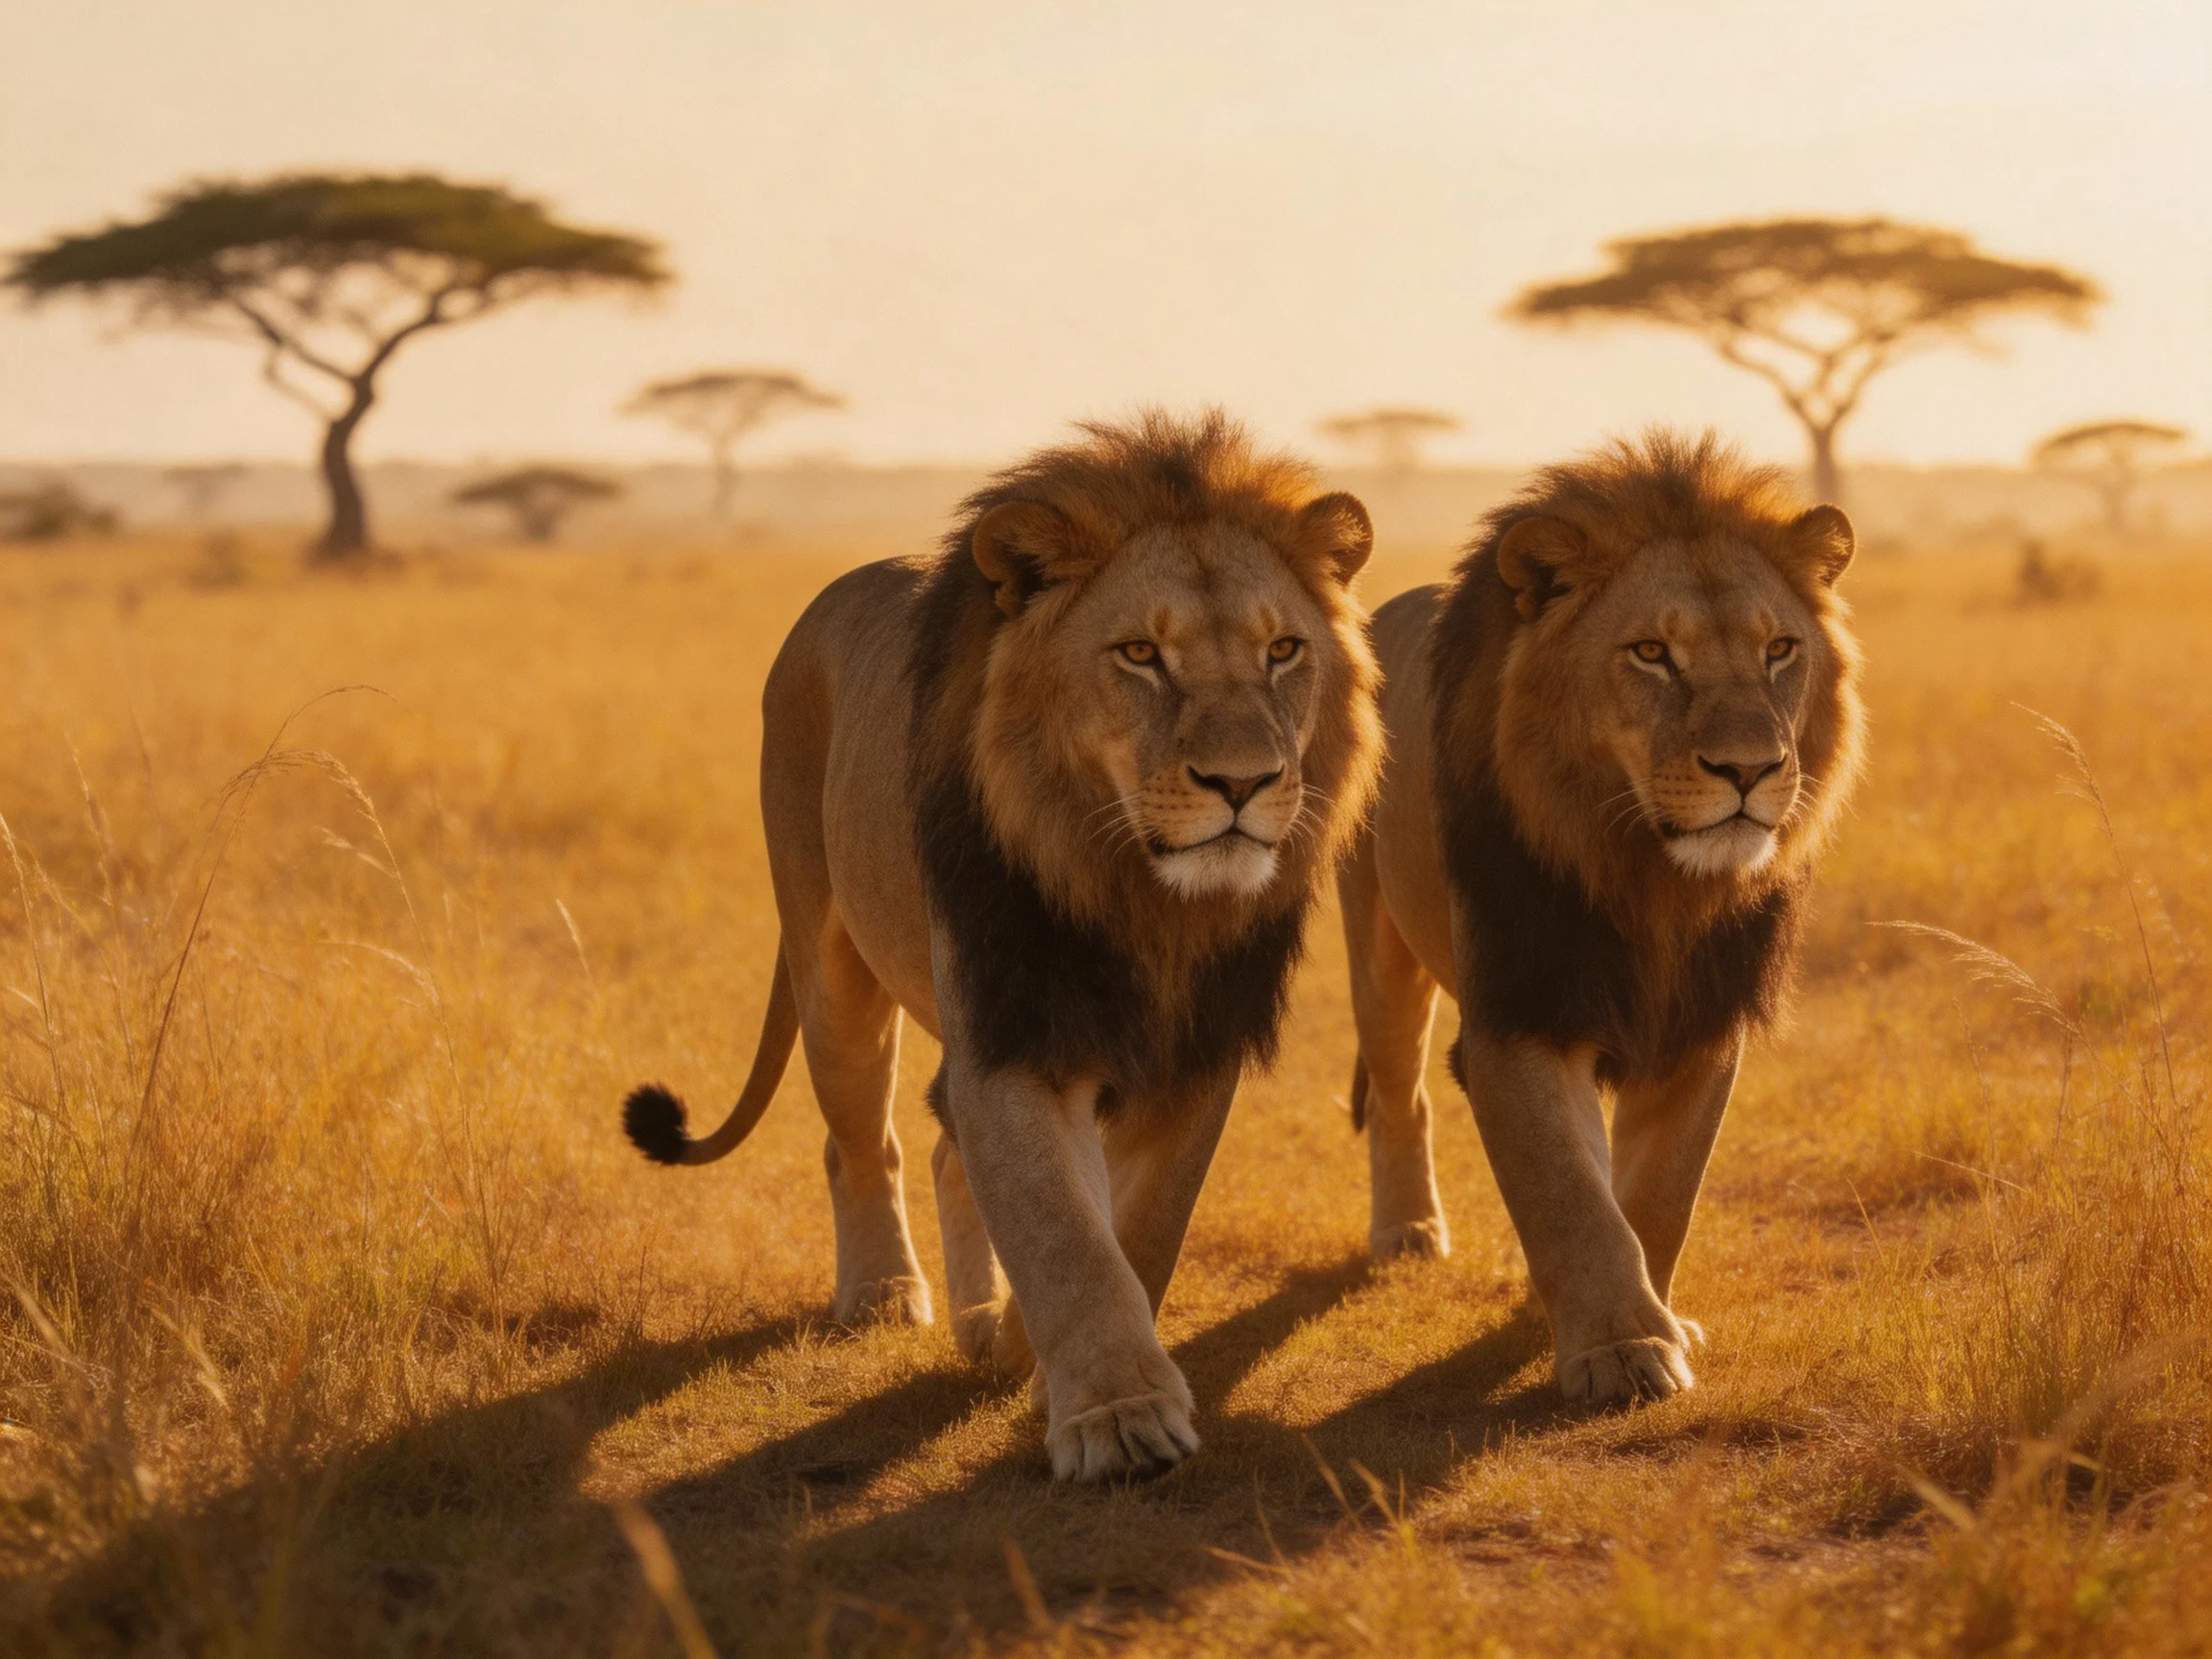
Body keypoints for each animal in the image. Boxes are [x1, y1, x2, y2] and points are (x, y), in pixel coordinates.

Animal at [624, 410, 1382, 1480]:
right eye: (1140, 654)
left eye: (1283, 650)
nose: (1243, 783)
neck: (1143, 897)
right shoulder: (1013, 1031)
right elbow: (1064, 1230)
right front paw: (1117, 1419)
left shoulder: (1197, 1051)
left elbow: (1142, 1231)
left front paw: (1040, 1356)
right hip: (833, 967)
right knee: (863, 1140)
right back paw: (885, 1296)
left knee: (946, 1150)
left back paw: (986, 1326)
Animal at [1338, 429, 1864, 1406]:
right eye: (1652, 652)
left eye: (1779, 649)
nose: (1750, 769)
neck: (1655, 883)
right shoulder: (1520, 1018)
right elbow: (1566, 1193)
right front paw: (1620, 1350)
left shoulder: (1704, 1024)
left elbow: (1657, 1197)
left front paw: (1651, 1320)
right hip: (1379, 942)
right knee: (1399, 1089)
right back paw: (1408, 1231)